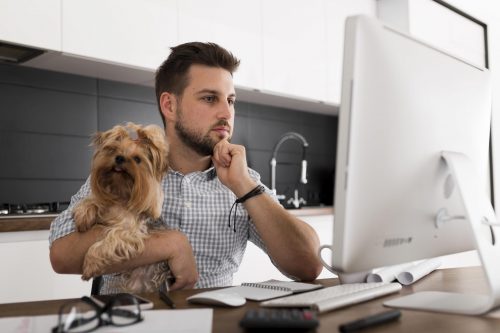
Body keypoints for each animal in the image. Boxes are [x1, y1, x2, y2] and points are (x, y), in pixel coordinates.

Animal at [72, 122, 170, 294]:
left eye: (137, 159)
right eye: (113, 149)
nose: (119, 158)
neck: (121, 193)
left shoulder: (128, 232)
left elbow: (108, 240)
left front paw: (90, 264)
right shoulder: (107, 201)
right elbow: (93, 200)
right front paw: (83, 216)